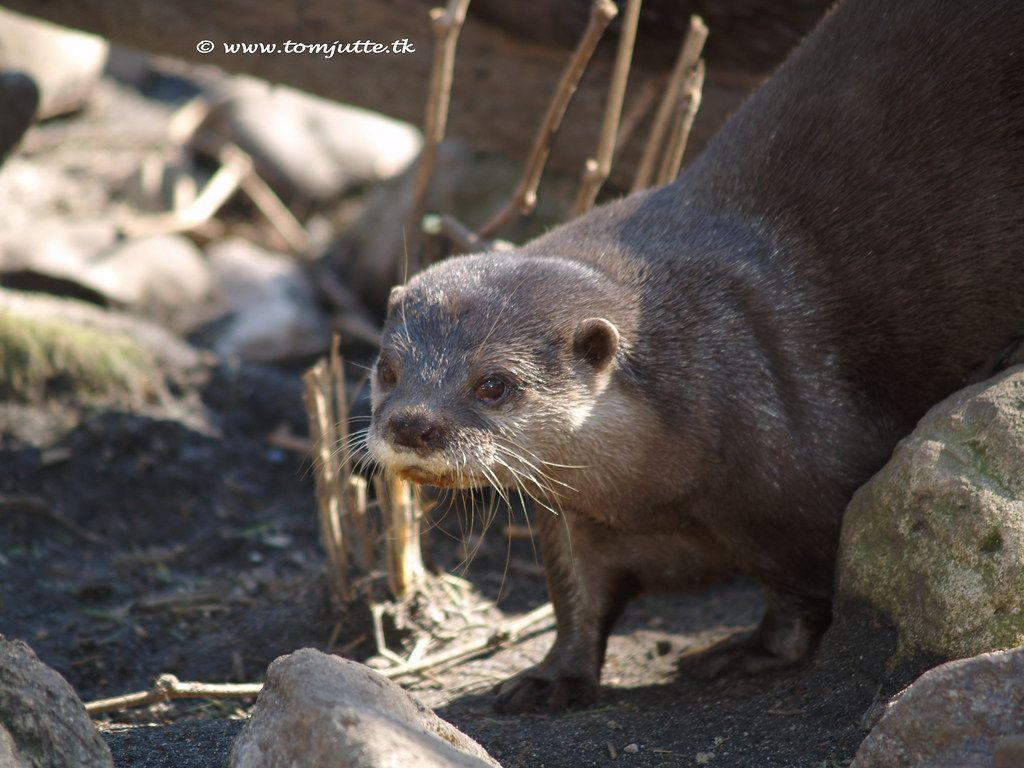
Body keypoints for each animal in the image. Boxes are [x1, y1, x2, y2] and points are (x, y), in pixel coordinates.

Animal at [366, 0, 1024, 713]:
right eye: (386, 370)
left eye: (493, 384)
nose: (412, 424)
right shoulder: (573, 521)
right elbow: (577, 599)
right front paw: (549, 676)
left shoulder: (803, 479)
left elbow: (804, 591)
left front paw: (747, 652)